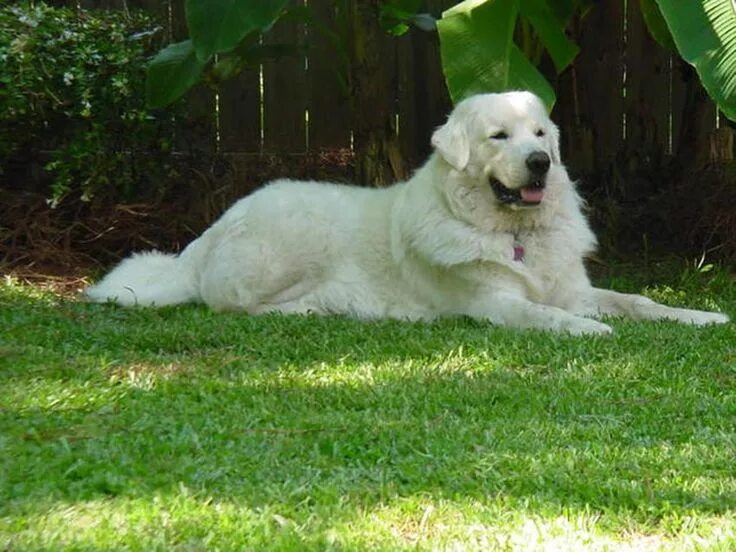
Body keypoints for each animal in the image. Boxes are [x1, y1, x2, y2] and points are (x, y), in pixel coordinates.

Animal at [83, 91, 728, 334]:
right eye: (499, 137)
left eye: (541, 133)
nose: (541, 162)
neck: (514, 234)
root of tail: (207, 236)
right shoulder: (492, 303)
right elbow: (542, 315)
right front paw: (588, 330)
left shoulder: (572, 285)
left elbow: (639, 301)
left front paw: (700, 316)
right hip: (285, 244)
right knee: (231, 304)